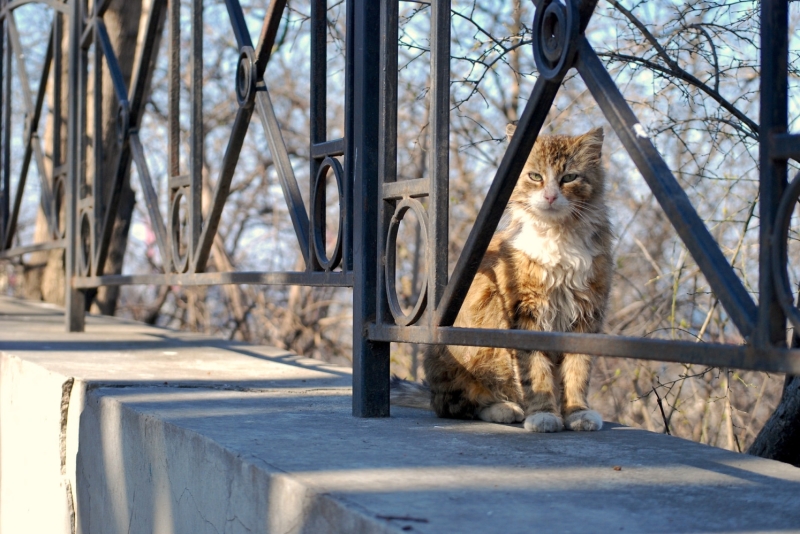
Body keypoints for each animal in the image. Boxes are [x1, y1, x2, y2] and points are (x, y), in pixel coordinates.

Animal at [392, 127, 612, 434]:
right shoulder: (526, 314)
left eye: (569, 178)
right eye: (535, 176)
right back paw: (506, 409)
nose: (550, 197)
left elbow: (577, 371)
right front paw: (544, 414)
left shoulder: (585, 314)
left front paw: (577, 413)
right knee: (458, 405)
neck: (558, 237)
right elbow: (536, 372)